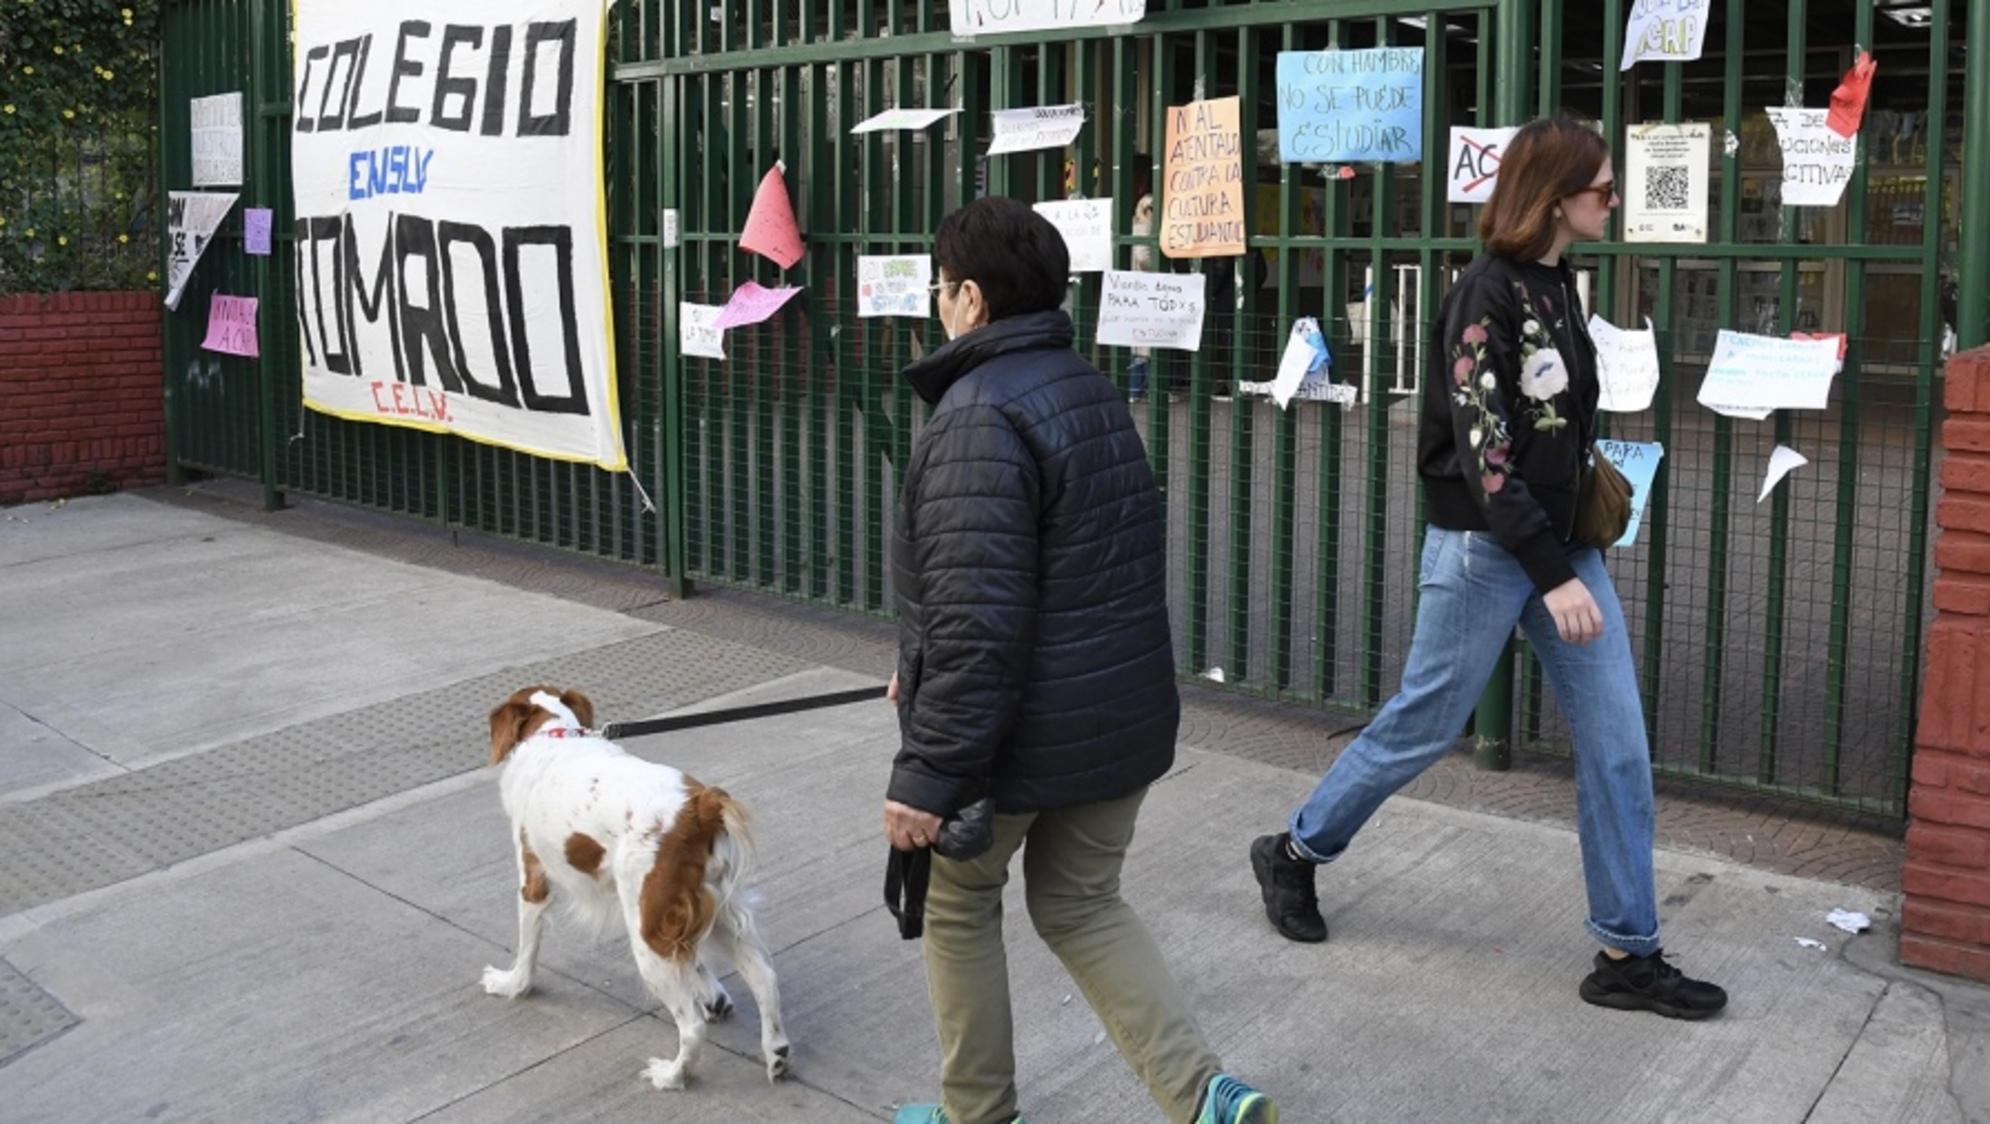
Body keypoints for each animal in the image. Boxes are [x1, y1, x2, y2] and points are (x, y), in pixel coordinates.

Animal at [483, 684, 792, 1090]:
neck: (555, 733)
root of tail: (701, 807)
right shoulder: (682, 915)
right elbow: (696, 963)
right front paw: (713, 995)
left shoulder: (533, 879)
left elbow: (527, 949)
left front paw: (512, 985)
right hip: (710, 907)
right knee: (764, 978)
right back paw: (776, 1052)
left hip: (647, 932)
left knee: (691, 1026)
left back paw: (673, 1075)